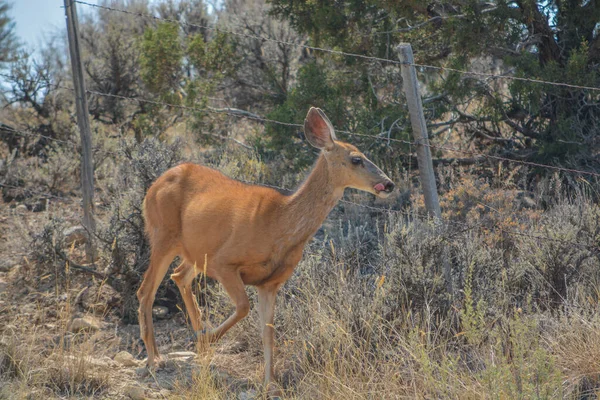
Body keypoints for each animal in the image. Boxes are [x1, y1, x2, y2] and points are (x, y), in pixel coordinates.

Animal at [138, 106, 396, 394]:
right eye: (356, 159)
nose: (389, 184)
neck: (279, 224)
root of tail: (154, 185)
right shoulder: (223, 261)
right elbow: (243, 307)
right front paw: (208, 337)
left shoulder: (270, 283)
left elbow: (268, 332)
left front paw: (269, 382)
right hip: (163, 234)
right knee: (146, 289)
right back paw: (156, 358)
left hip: (194, 251)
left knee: (179, 276)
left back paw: (196, 347)